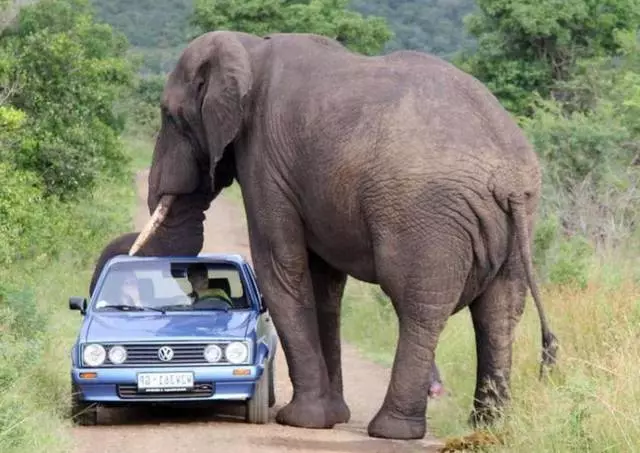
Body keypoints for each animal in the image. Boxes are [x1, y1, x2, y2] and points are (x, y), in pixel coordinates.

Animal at [92, 30, 556, 438]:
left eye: (170, 116)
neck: (248, 47)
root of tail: (509, 177)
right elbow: (323, 284)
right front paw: (332, 416)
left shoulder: (265, 160)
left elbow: (280, 267)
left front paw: (301, 422)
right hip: (519, 220)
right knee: (499, 311)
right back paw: (489, 428)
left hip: (427, 217)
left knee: (418, 306)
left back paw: (392, 431)